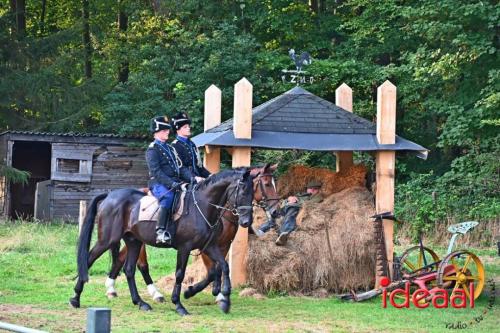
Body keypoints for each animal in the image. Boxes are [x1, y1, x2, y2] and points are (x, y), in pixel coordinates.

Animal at [70, 167, 256, 316]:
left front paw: (223, 300)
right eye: (242, 192)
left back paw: (140, 303)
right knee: (88, 259)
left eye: (252, 193)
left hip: (134, 241)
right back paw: (75, 298)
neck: (202, 207)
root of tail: (109, 195)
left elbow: (223, 266)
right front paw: (179, 304)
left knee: (129, 269)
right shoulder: (185, 247)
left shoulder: (209, 246)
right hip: (107, 240)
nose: (246, 222)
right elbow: (180, 274)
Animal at [104, 163, 282, 300]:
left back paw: (112, 288)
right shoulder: (203, 247)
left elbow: (219, 268)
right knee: (141, 264)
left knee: (121, 257)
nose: (275, 212)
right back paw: (153, 293)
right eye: (266, 184)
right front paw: (207, 292)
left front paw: (216, 291)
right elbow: (212, 271)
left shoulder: (221, 245)